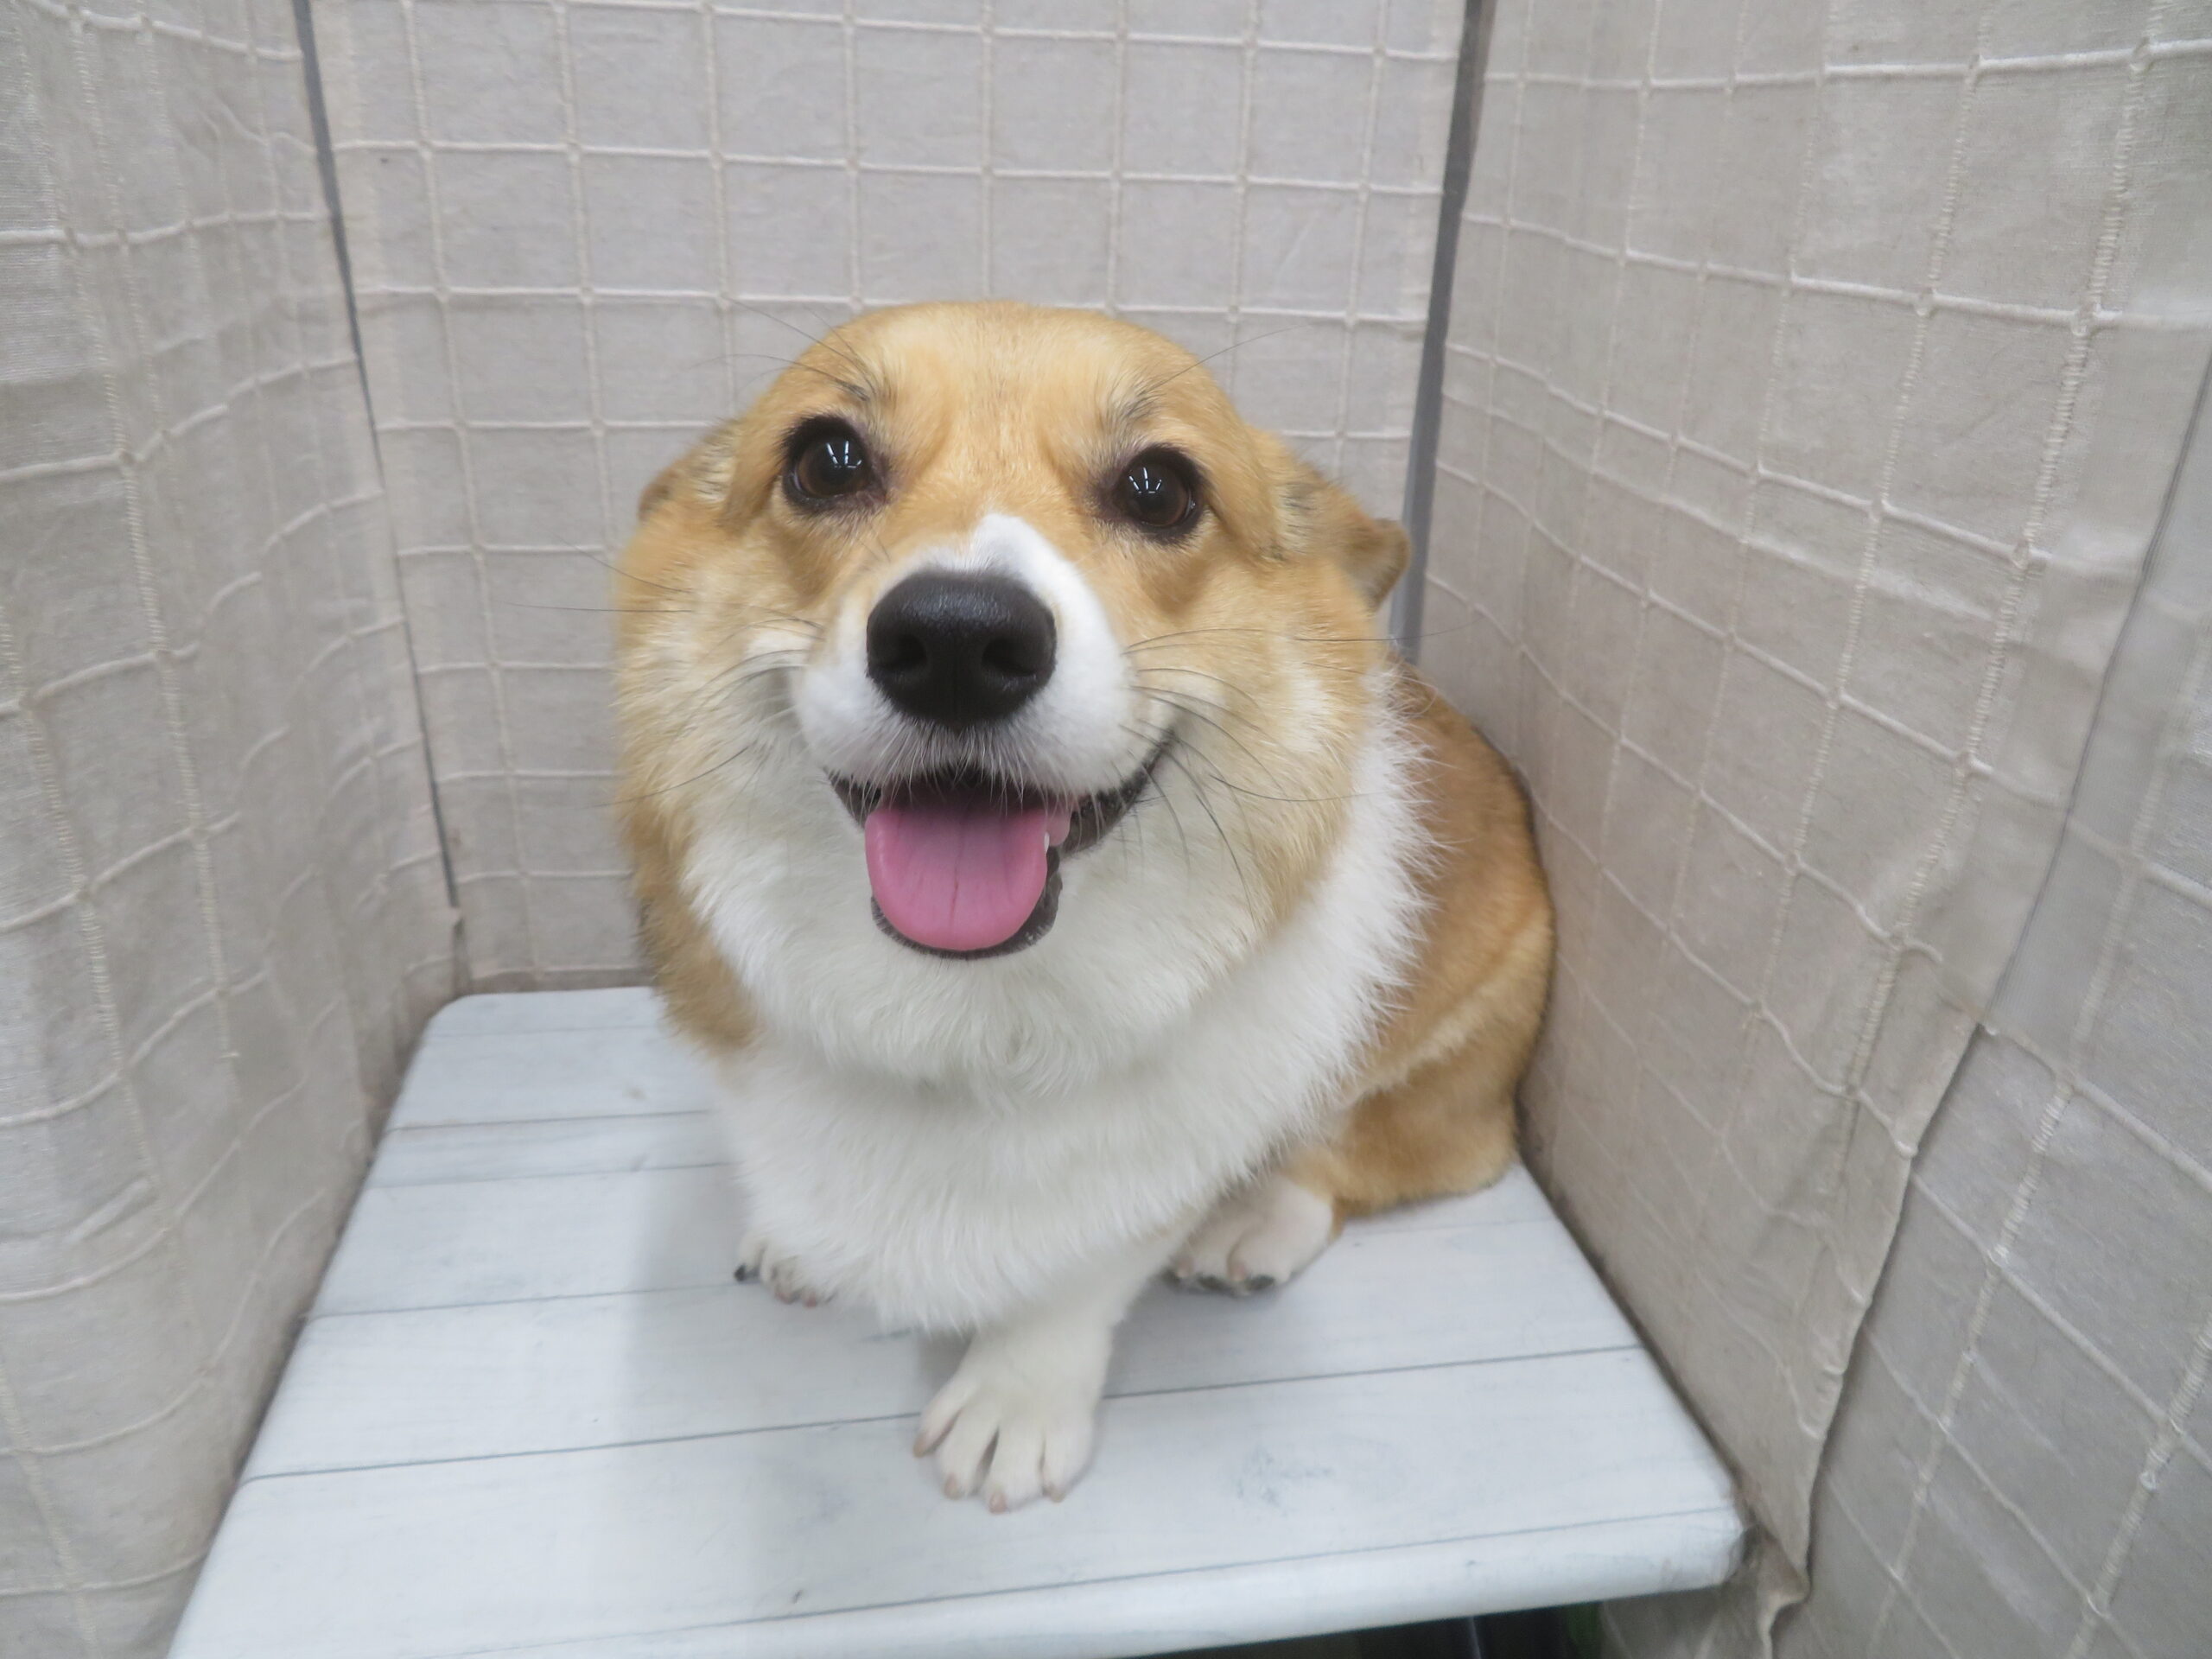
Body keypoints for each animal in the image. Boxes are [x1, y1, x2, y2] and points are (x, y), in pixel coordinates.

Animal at [614, 301, 1552, 1512]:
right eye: (826, 461)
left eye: (1161, 489)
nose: (956, 642)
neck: (965, 1008)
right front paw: (793, 1235)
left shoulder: (1158, 1163)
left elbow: (1080, 1278)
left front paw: (1014, 1405)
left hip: (1455, 1055)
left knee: (1378, 1150)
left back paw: (1259, 1215)